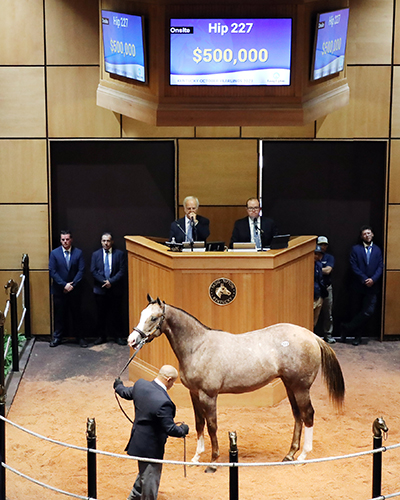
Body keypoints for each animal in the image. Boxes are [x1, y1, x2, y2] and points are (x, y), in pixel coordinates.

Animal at [127, 294, 344, 470]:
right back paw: (290, 455)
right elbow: (199, 423)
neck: (198, 346)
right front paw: (196, 458)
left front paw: (213, 462)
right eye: (142, 313)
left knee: (308, 415)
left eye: (153, 317)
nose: (132, 340)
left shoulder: (208, 395)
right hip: (290, 386)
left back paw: (303, 457)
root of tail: (312, 336)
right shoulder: (194, 393)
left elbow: (212, 425)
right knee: (298, 416)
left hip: (301, 387)